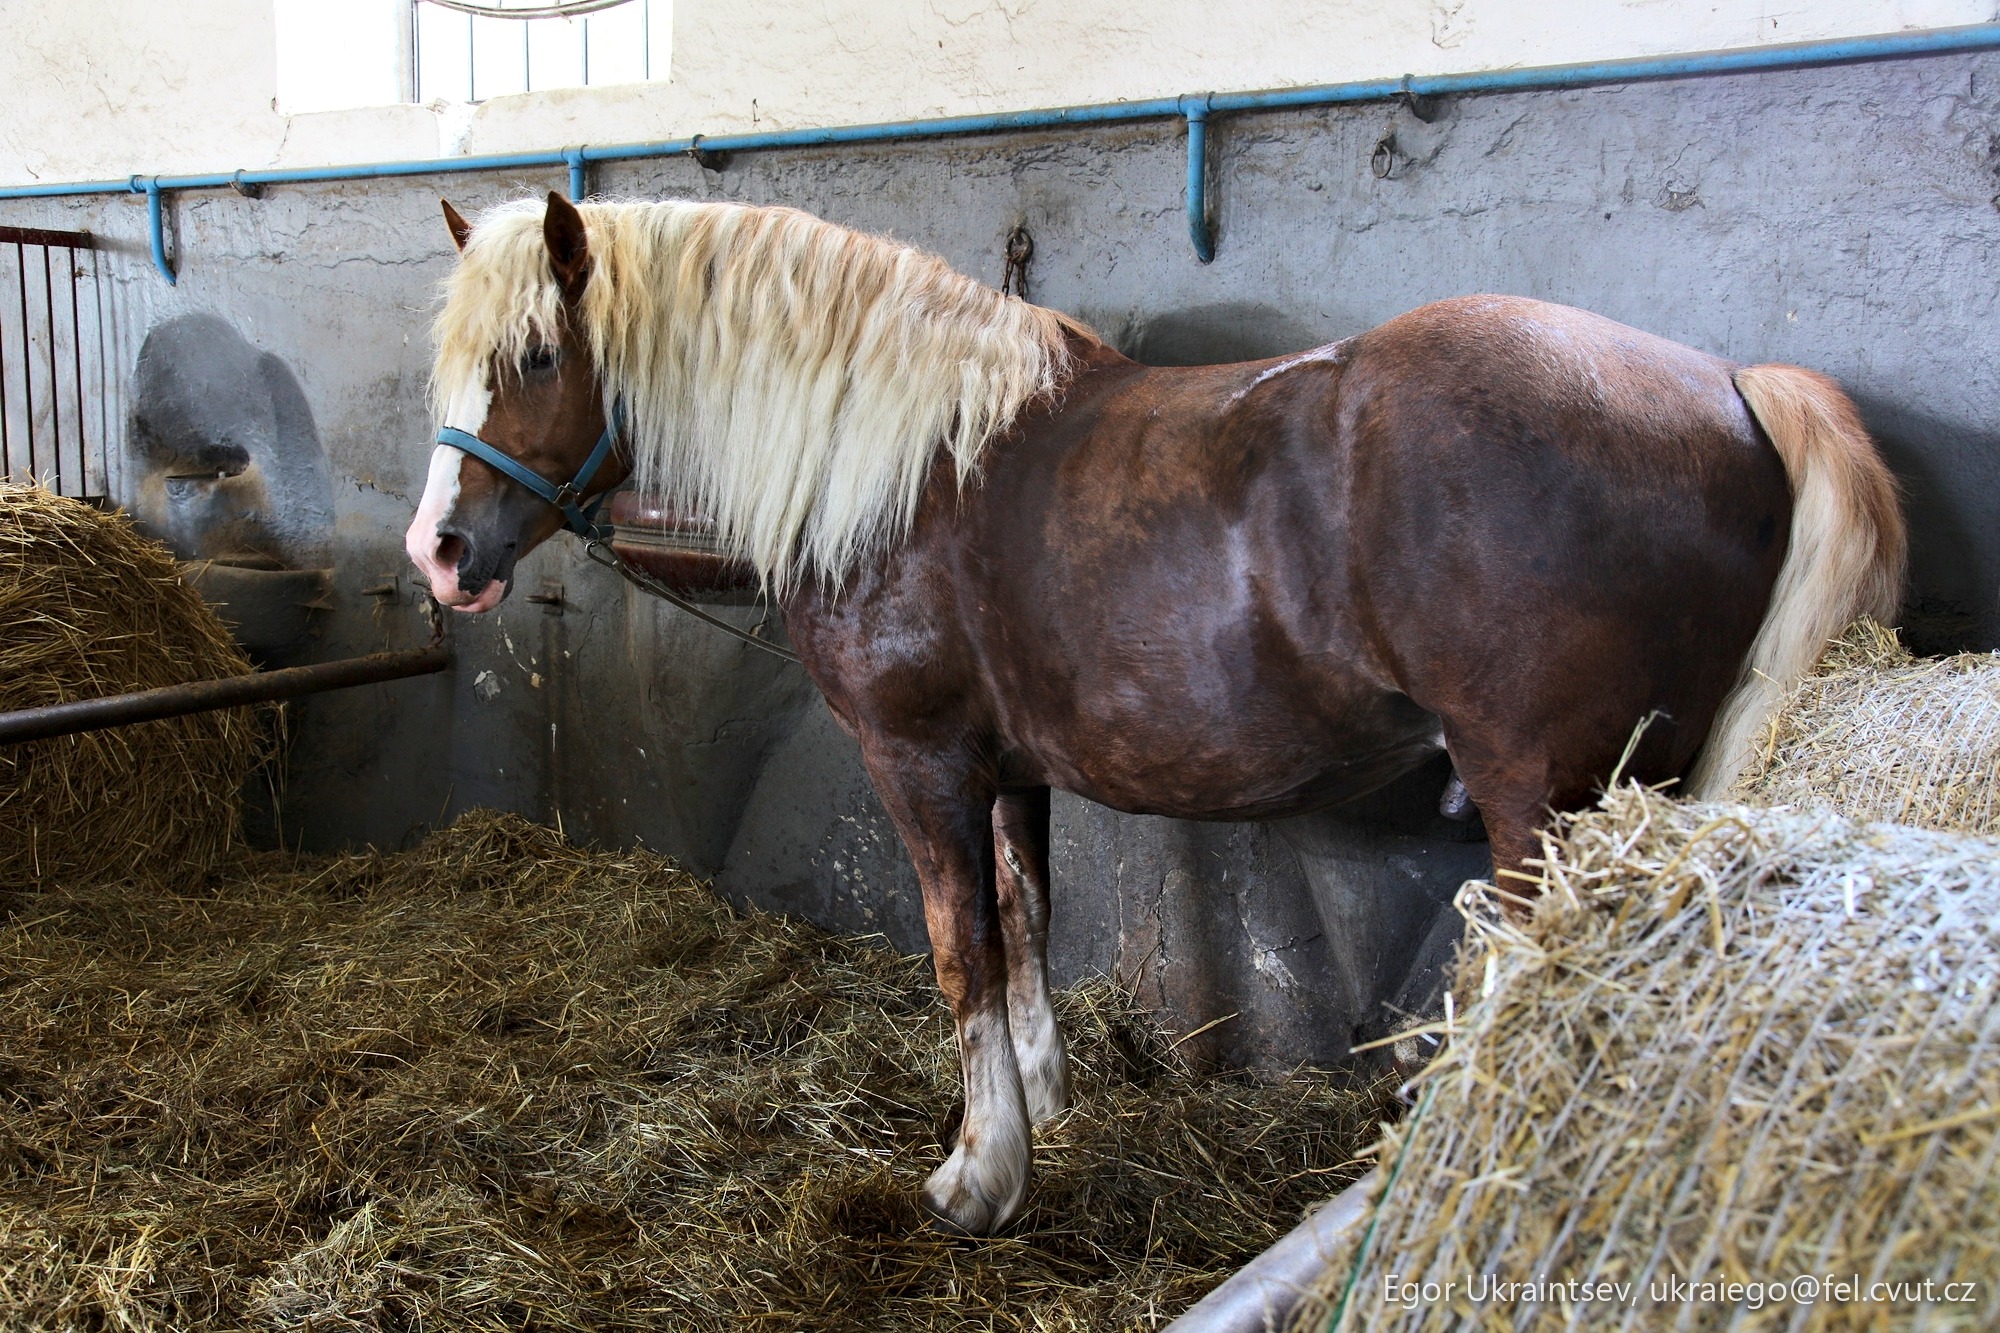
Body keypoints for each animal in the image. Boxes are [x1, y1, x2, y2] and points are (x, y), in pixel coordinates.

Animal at [404, 191, 1904, 1235]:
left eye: (533, 355)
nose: (438, 554)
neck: (908, 470)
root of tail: (1725, 384)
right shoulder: (1010, 768)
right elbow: (1025, 928)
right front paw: (1044, 1108)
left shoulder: (920, 762)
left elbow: (959, 953)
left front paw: (978, 1176)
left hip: (1549, 804)